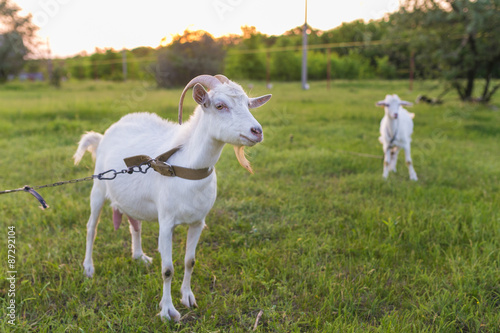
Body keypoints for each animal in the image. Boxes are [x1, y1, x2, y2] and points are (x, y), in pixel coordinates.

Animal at [72, 74, 272, 320]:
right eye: (220, 105)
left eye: (247, 103)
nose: (257, 131)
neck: (186, 166)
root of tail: (103, 136)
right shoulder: (166, 222)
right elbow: (167, 269)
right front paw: (168, 311)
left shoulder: (198, 222)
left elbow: (190, 261)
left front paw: (187, 297)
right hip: (99, 187)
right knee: (92, 227)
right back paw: (89, 268)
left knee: (135, 225)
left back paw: (139, 256)